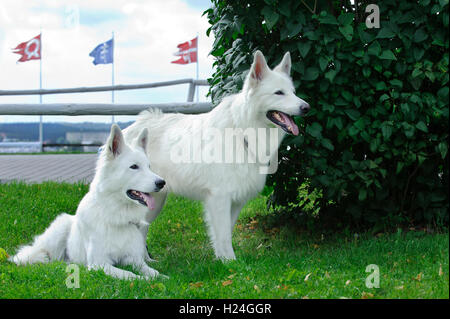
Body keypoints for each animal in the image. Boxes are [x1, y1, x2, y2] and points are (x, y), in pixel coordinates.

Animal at [11, 125, 169, 280]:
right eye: (134, 166)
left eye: (149, 167)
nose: (162, 183)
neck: (116, 215)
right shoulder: (99, 264)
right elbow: (130, 275)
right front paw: (144, 280)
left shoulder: (134, 260)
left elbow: (154, 273)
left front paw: (162, 278)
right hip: (58, 232)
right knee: (38, 254)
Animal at [125, 50, 312, 260]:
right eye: (279, 93)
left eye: (293, 92)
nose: (306, 107)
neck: (243, 131)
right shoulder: (220, 198)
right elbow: (222, 234)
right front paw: (231, 262)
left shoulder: (236, 201)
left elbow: (226, 232)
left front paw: (222, 260)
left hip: (154, 201)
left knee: (141, 229)